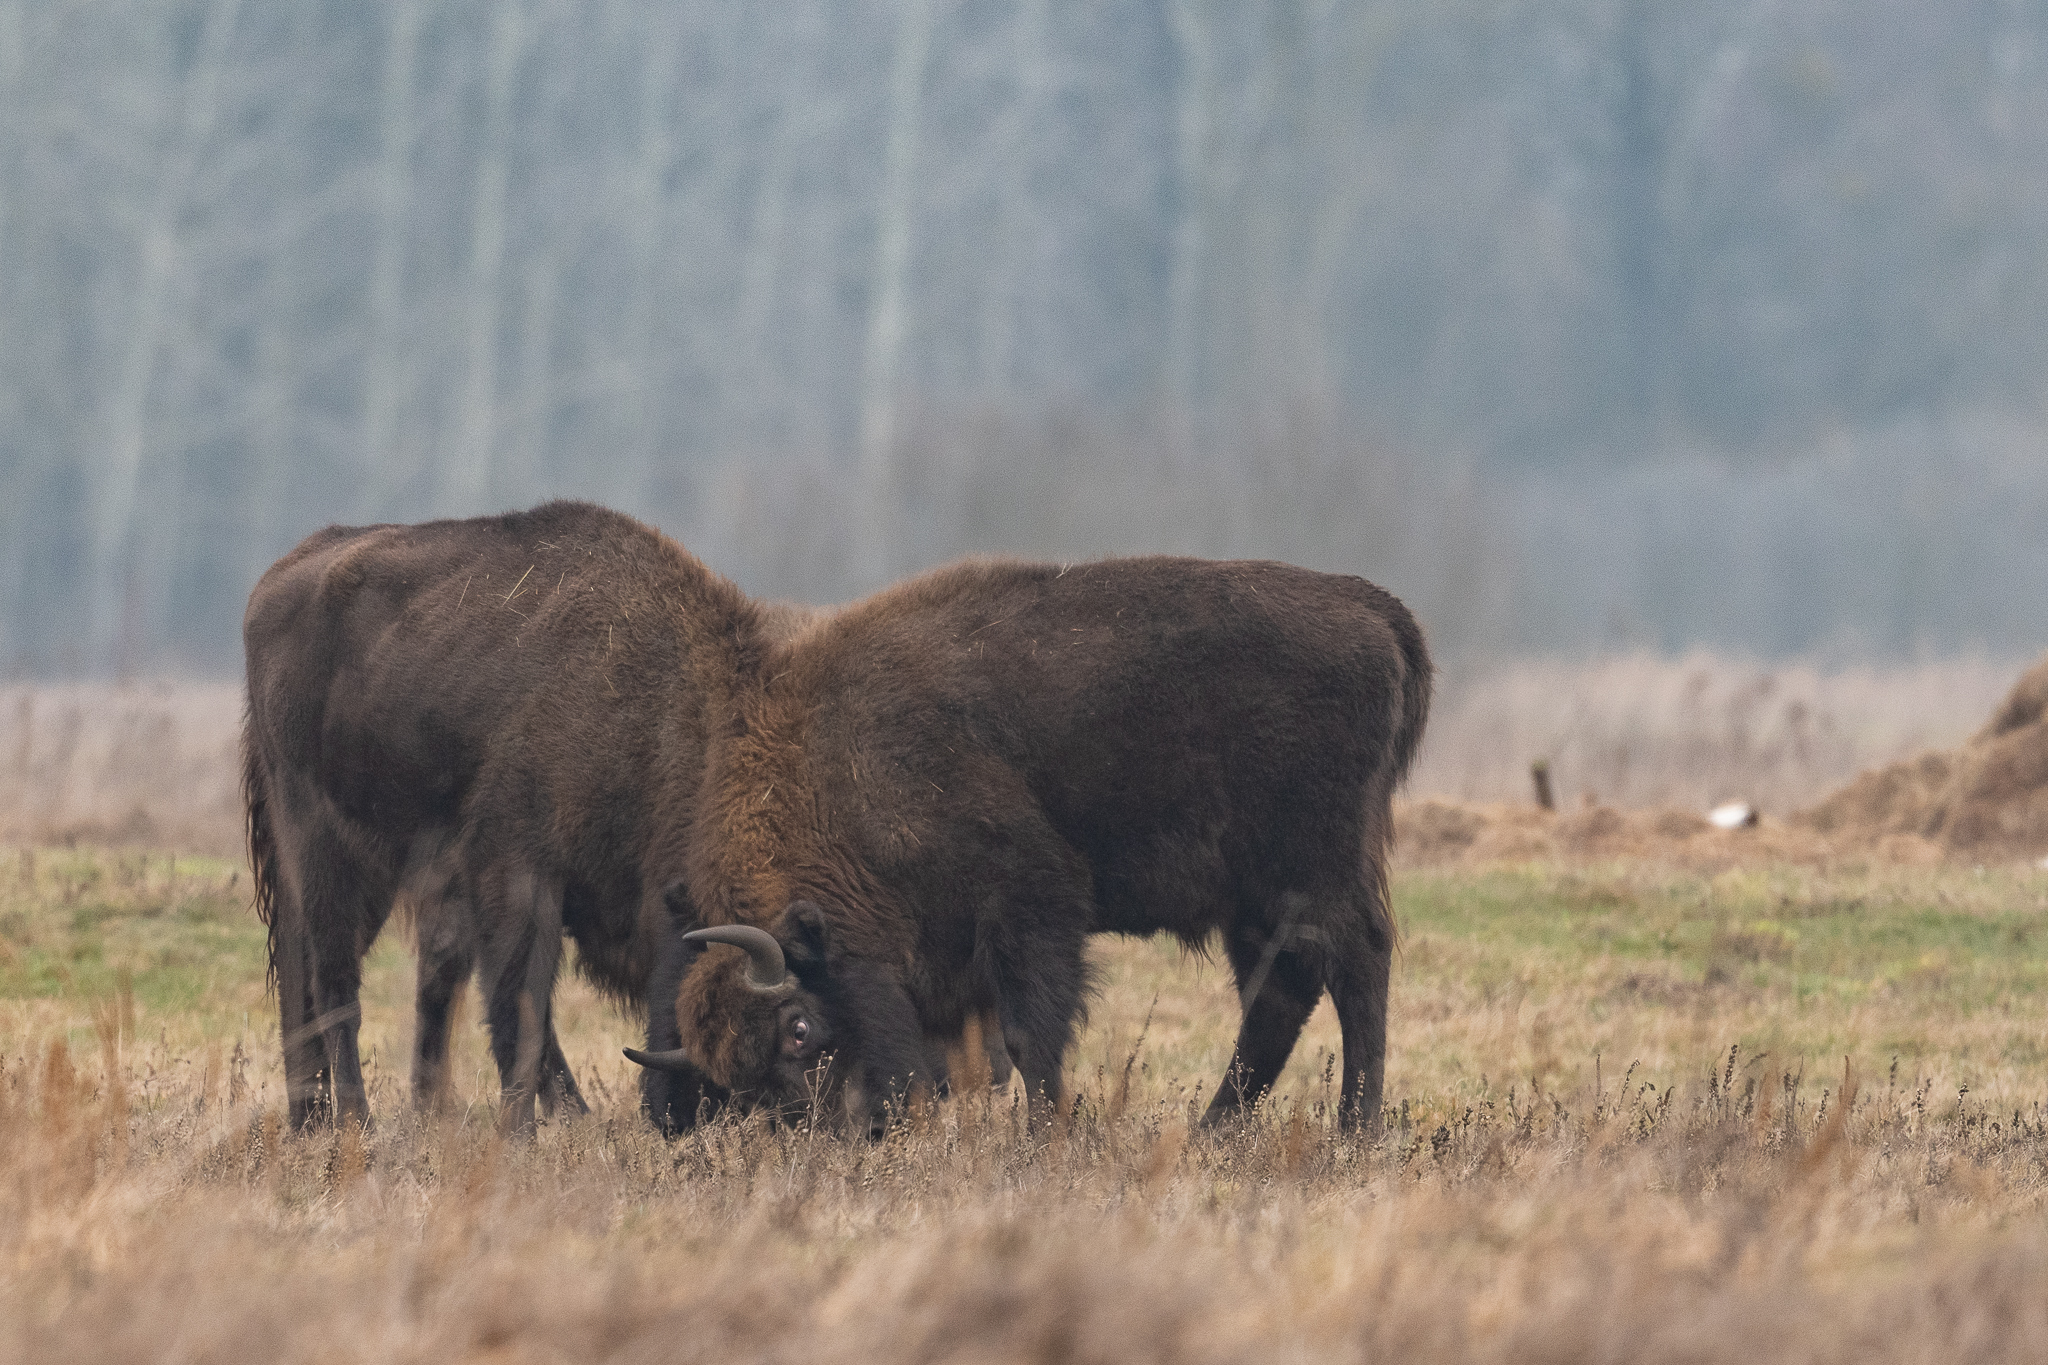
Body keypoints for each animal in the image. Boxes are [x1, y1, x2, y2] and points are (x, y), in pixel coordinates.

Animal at [625, 556, 1430, 1134]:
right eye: (738, 1081)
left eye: (799, 1027)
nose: (842, 1129)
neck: (840, 779)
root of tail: (1370, 608)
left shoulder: (1029, 906)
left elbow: (1028, 1035)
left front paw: (1046, 1135)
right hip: (1253, 903)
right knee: (1280, 992)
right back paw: (1214, 1129)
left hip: (1314, 870)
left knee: (1356, 961)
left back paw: (1354, 1129)